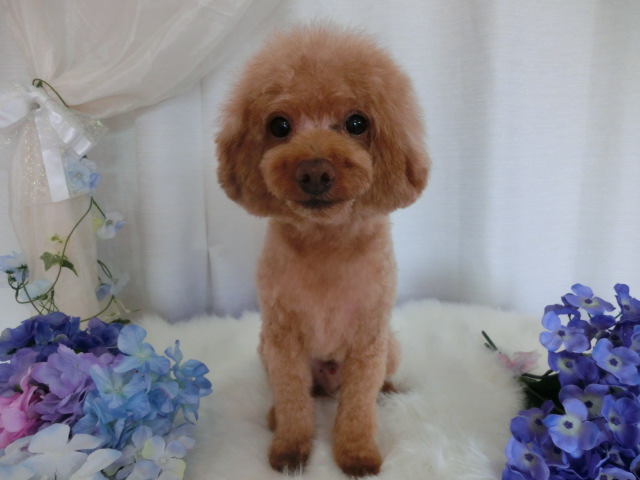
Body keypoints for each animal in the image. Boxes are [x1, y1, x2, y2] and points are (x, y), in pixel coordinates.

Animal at [216, 24, 429, 477]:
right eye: (279, 125)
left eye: (357, 122)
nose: (314, 171)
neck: (326, 241)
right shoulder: (282, 339)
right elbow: (293, 398)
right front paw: (290, 448)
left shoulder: (368, 341)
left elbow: (358, 406)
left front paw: (357, 453)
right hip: (264, 349)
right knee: (296, 393)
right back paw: (275, 415)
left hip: (390, 347)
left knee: (370, 386)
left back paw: (388, 390)